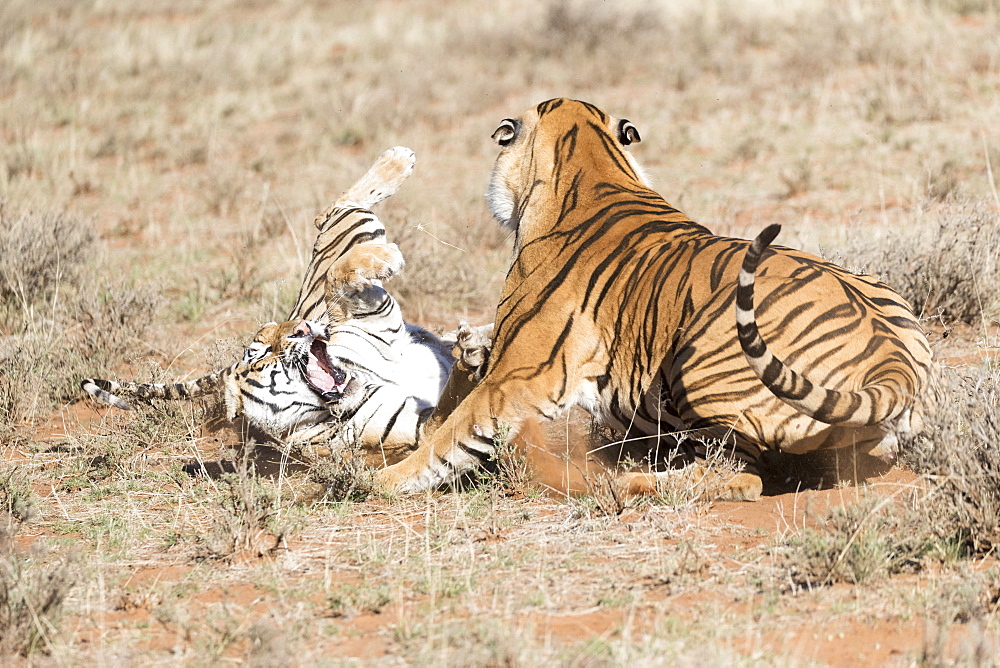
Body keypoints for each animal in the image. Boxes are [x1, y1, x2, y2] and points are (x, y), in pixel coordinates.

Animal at [80, 144, 486, 462]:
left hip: (352, 231)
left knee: (333, 215)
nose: (301, 327)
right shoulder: (419, 428)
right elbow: (455, 396)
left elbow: (338, 277)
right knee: (333, 211)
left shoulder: (371, 317)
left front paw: (384, 258)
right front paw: (472, 353)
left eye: (272, 339)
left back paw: (396, 162)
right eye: (260, 356)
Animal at [376, 98, 936, 496]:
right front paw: (469, 346)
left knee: (741, 474)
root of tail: (896, 362)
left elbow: (453, 433)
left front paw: (377, 481)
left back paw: (630, 482)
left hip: (699, 359)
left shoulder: (518, 377)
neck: (594, 164)